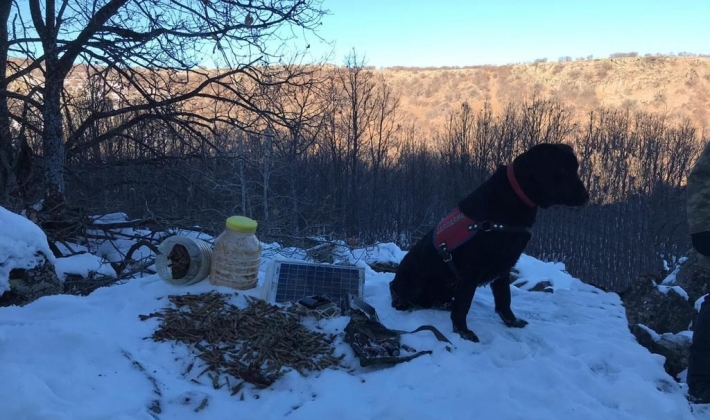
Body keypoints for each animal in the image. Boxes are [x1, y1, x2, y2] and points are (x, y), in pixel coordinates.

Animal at [390, 144, 588, 342]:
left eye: (575, 168)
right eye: (562, 169)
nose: (587, 196)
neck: (515, 199)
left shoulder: (504, 266)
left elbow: (504, 299)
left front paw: (511, 322)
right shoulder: (471, 270)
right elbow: (464, 305)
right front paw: (463, 332)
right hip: (413, 285)